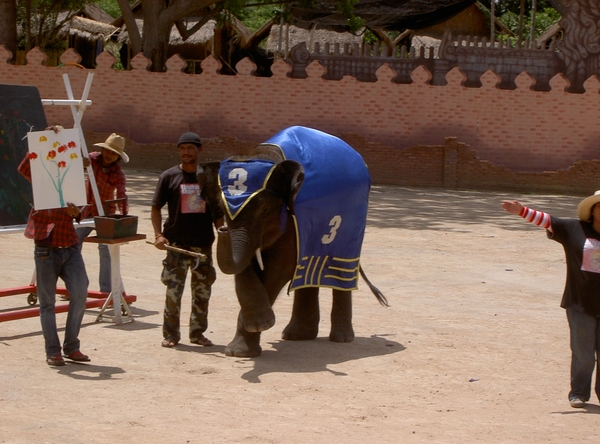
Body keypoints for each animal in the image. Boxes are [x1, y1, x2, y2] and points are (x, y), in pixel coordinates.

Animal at [200, 125, 390, 358]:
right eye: (222, 208)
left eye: (265, 210)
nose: (222, 229)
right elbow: (245, 266)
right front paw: (241, 348)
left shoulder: (293, 218)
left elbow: (280, 267)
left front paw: (256, 329)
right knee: (306, 272)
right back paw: (297, 336)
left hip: (353, 224)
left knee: (340, 270)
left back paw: (341, 339)